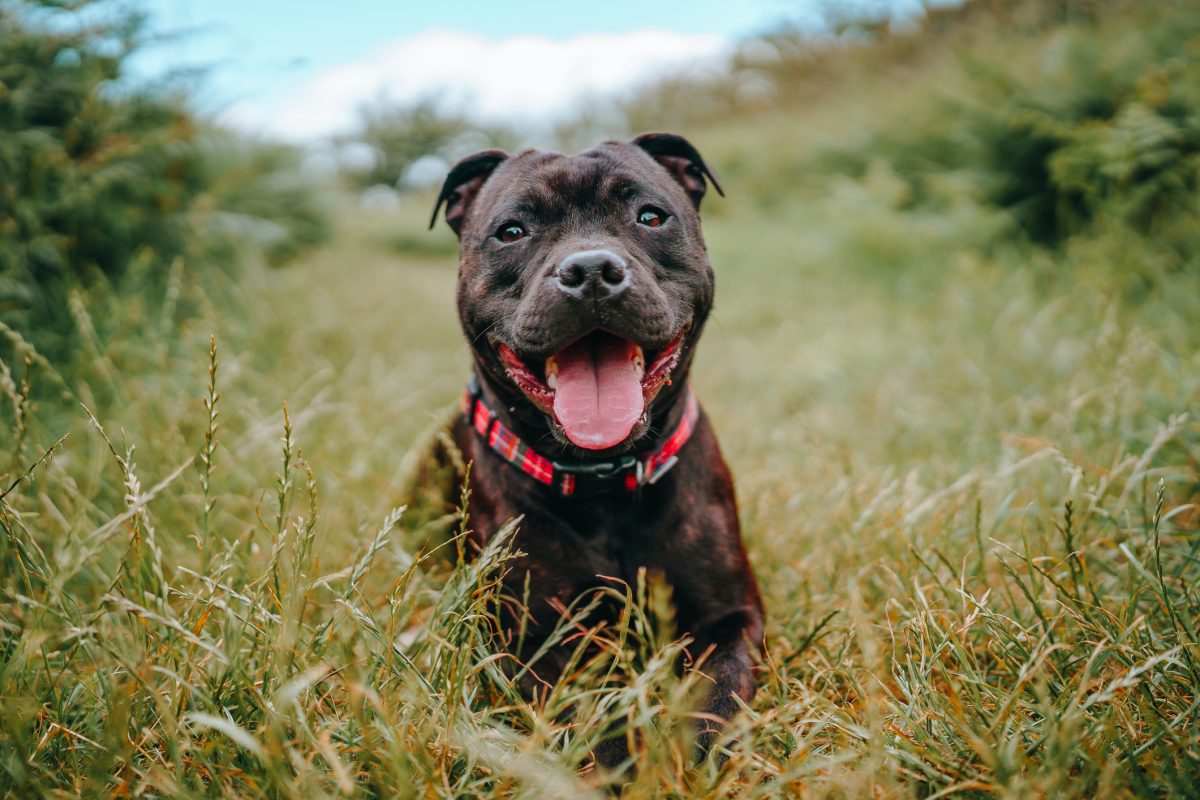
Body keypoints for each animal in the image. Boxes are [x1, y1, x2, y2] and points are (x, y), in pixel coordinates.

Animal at [432, 133, 763, 767]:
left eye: (651, 217)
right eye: (512, 231)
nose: (590, 270)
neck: (603, 476)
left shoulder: (731, 616)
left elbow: (717, 695)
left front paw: (689, 758)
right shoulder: (531, 640)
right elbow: (589, 710)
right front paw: (618, 764)